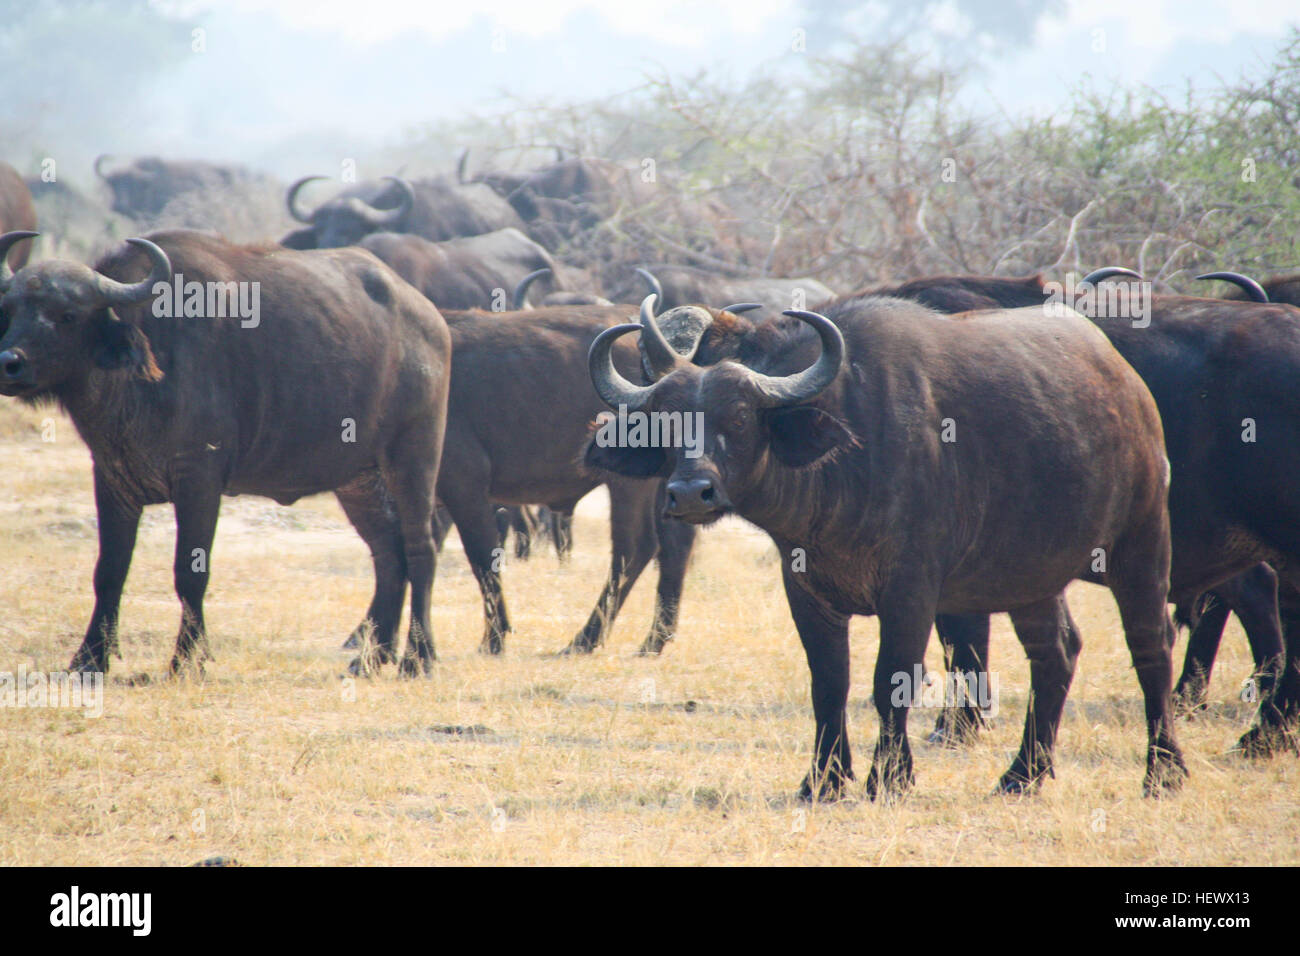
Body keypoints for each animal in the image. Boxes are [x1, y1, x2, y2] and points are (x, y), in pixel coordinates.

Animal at [0, 229, 451, 676]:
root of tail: (431, 321)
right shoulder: (112, 480)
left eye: (67, 315)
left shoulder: (199, 480)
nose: (10, 363)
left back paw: (418, 657)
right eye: (11, 309)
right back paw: (373, 657)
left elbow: (190, 572)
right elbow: (109, 571)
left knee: (421, 549)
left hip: (414, 457)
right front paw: (90, 658)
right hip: (358, 479)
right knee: (388, 554)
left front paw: (187, 660)